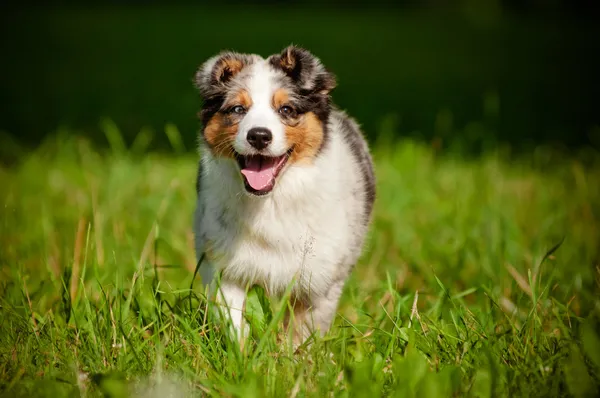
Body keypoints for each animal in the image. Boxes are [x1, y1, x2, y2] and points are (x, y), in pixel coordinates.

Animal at [193, 45, 376, 346]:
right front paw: (243, 355)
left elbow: (302, 333)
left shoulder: (319, 281)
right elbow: (234, 320)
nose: (258, 136)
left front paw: (291, 357)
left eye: (286, 109)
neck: (270, 202)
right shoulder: (222, 264)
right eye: (238, 109)